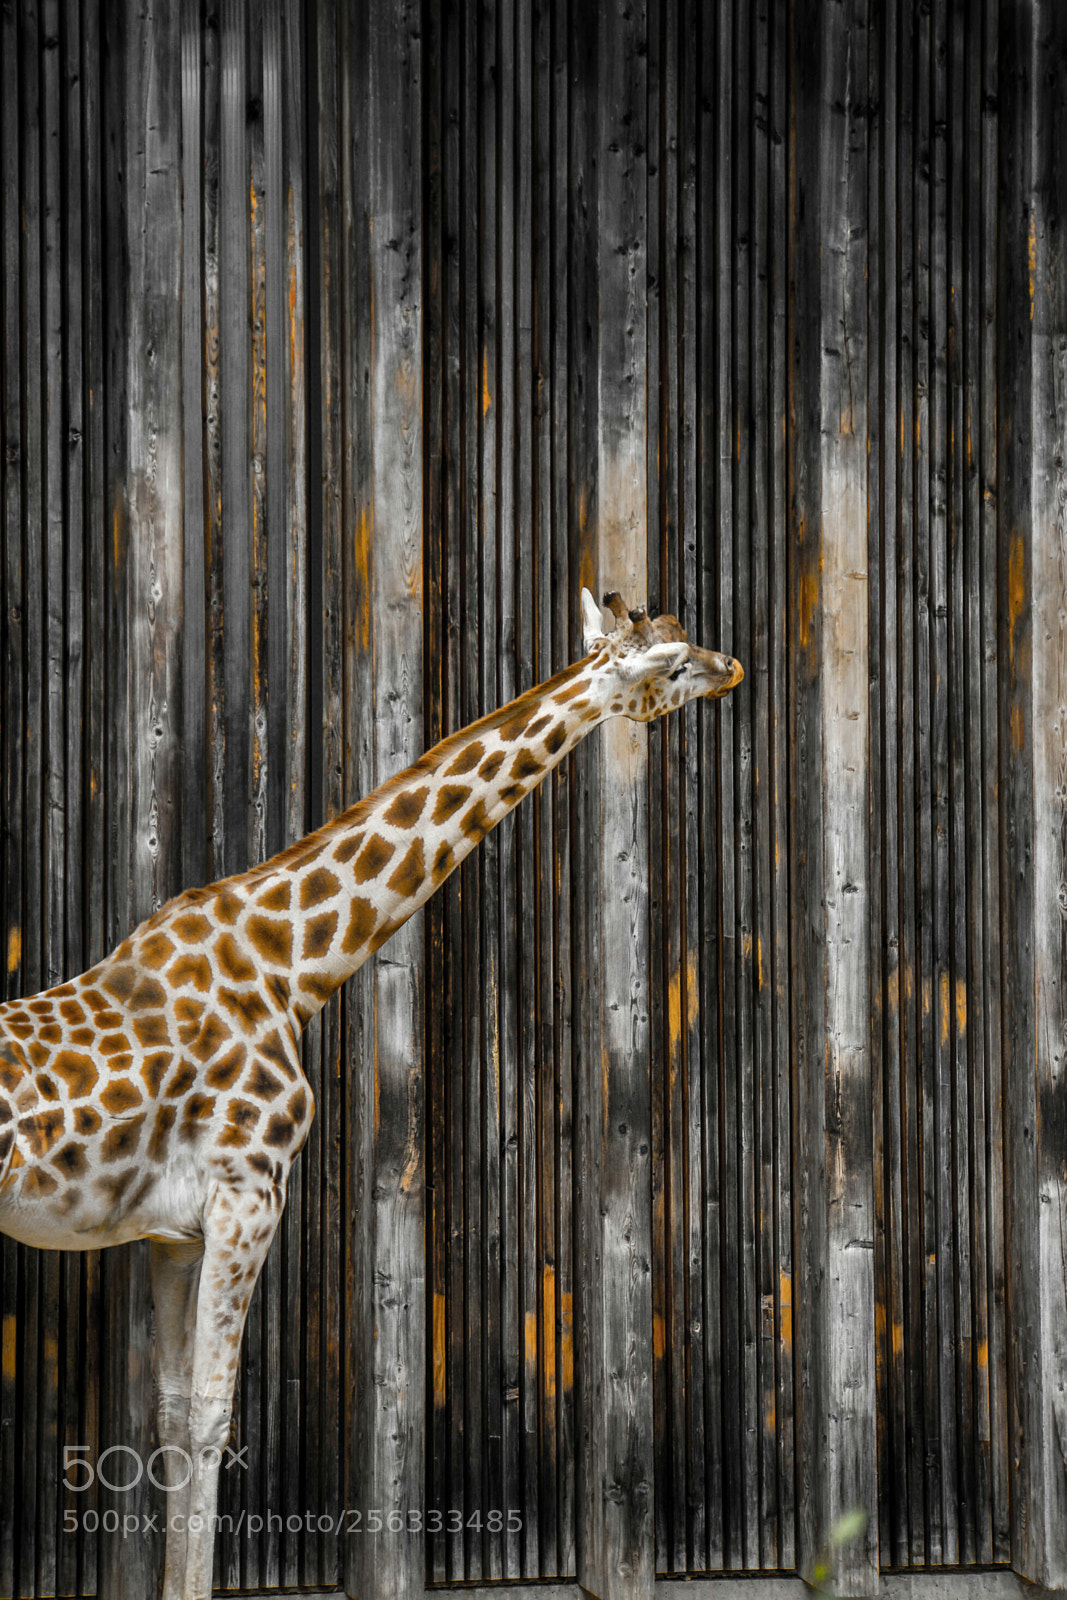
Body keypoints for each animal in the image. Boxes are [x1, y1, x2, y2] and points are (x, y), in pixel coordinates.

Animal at [0, 586, 742, 1600]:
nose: (731, 667)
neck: (294, 965)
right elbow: (211, 1419)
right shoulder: (248, 1194)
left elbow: (170, 1416)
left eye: (682, 636)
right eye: (669, 665)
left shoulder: (171, 1233)